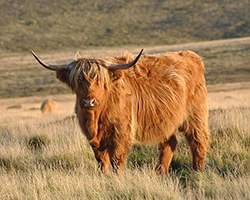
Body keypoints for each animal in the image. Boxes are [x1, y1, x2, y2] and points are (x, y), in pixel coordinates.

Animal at [31, 49, 211, 175]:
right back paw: (160, 173)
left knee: (198, 141)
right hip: (166, 119)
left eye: (100, 81)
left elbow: (116, 159)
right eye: (79, 79)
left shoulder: (121, 132)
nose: (89, 101)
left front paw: (117, 178)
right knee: (169, 143)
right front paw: (103, 178)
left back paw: (197, 172)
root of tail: (190, 55)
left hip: (195, 115)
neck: (96, 118)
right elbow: (101, 160)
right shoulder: (93, 138)